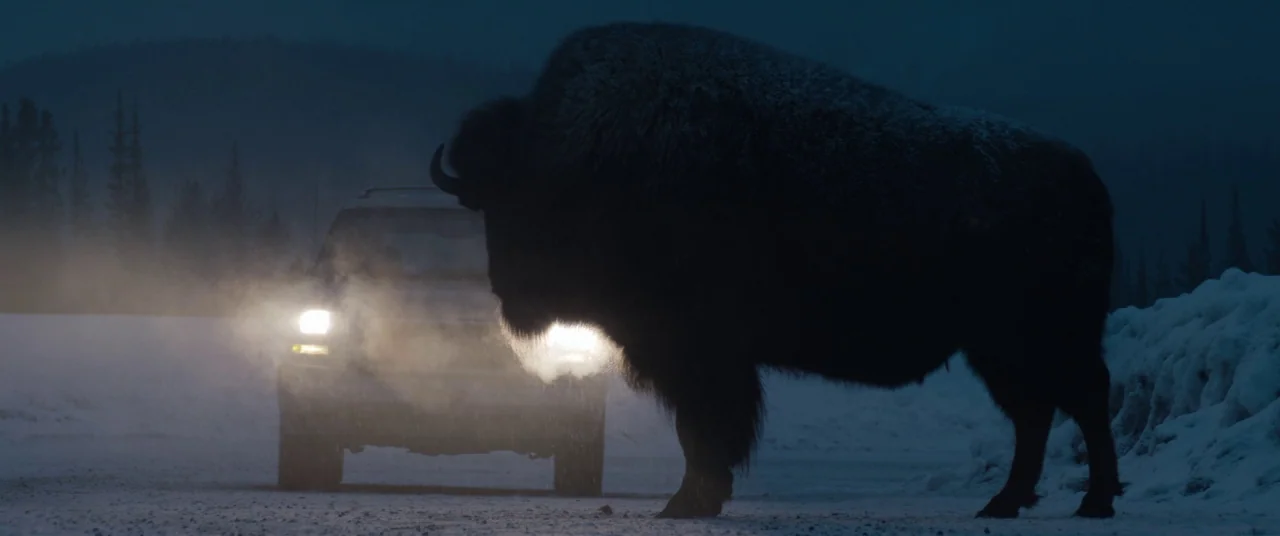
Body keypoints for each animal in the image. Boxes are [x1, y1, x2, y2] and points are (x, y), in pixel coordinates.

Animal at [429, 21, 1123, 520]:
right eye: (486, 204)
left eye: (524, 201)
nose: (513, 295)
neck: (589, 155)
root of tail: (1085, 176)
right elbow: (699, 431)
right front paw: (695, 500)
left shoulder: (698, 356)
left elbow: (705, 430)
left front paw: (685, 504)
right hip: (1001, 349)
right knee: (1039, 413)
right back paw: (1006, 504)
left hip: (1036, 341)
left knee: (1080, 400)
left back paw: (1090, 503)